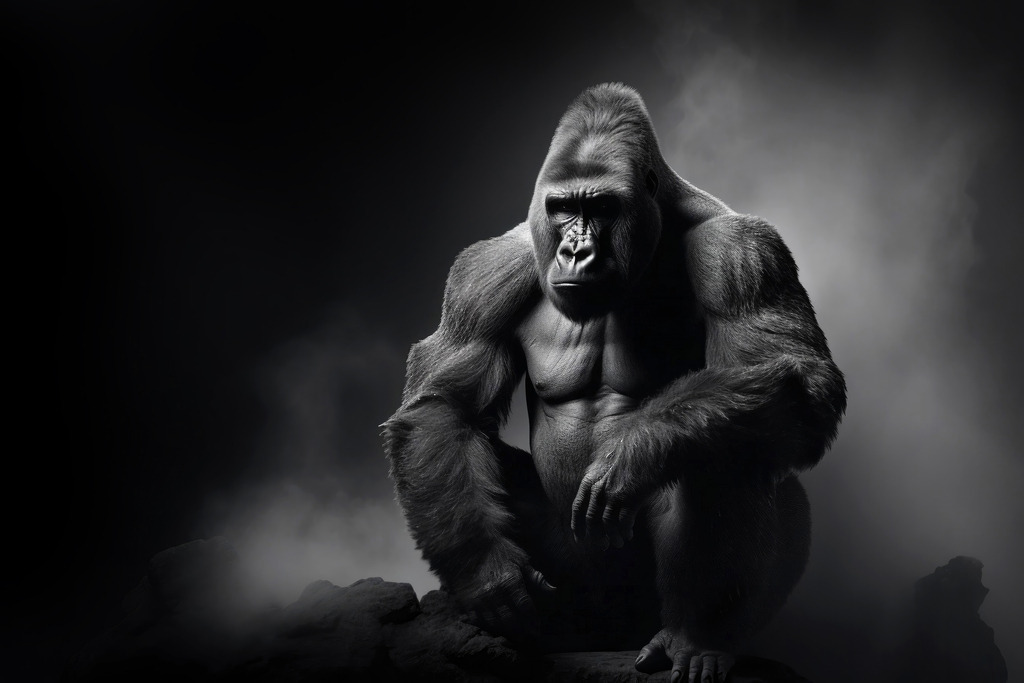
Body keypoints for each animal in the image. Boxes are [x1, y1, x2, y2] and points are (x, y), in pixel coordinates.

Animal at [383, 83, 846, 683]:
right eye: (563, 208)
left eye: (601, 207)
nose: (576, 249)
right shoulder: (482, 274)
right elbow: (446, 406)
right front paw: (487, 572)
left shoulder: (743, 250)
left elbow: (800, 381)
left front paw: (636, 448)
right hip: (574, 600)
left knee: (728, 442)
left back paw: (697, 636)